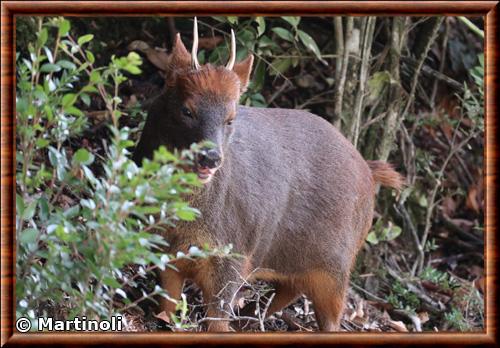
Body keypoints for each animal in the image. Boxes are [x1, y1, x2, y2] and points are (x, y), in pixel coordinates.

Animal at [132, 18, 402, 332]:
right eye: (187, 110)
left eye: (231, 119)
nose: (210, 157)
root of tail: (369, 172)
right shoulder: (166, 250)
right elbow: (167, 306)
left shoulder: (234, 254)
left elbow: (218, 321)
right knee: (289, 290)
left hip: (337, 265)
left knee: (331, 316)